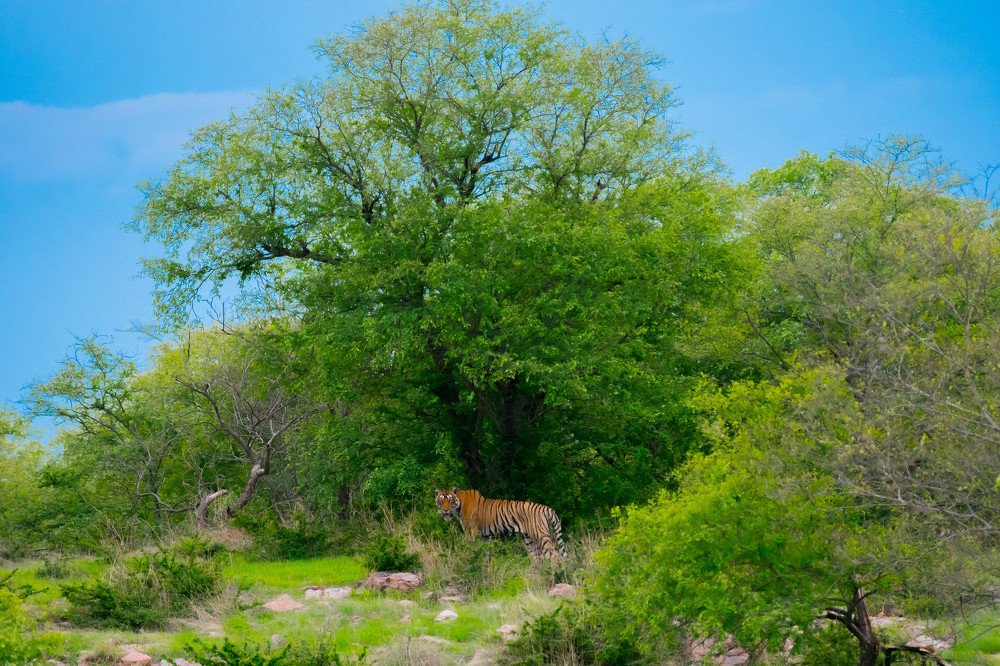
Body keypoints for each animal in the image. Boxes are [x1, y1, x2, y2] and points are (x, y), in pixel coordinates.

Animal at [434, 487, 567, 561]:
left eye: (450, 500)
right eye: (441, 501)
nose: (445, 510)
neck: (459, 505)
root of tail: (546, 508)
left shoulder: (471, 533)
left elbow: (473, 550)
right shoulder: (485, 536)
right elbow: (486, 554)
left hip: (540, 535)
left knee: (555, 555)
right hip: (529, 539)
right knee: (538, 558)